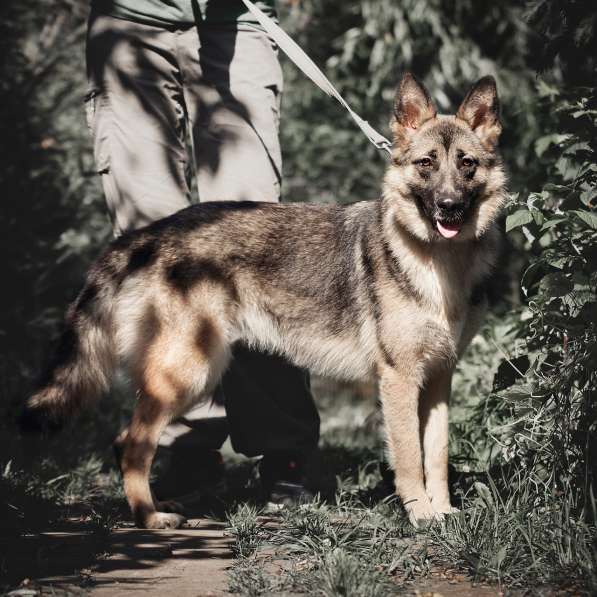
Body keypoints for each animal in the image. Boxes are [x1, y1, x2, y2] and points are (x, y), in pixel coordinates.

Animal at [21, 73, 506, 528]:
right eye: (426, 164)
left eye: (466, 164)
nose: (449, 206)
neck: (438, 261)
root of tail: (149, 235)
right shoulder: (400, 381)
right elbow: (409, 459)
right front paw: (420, 516)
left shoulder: (438, 379)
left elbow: (436, 455)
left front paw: (443, 512)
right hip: (188, 371)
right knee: (132, 443)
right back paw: (150, 518)